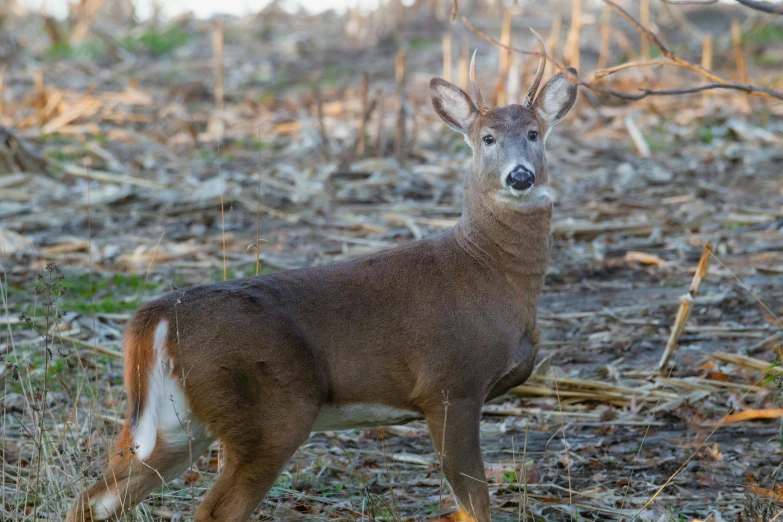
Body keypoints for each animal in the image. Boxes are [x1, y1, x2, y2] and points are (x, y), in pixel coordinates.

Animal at [67, 31, 580, 520]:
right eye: (487, 138)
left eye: (534, 133)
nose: (520, 176)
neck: (487, 270)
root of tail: (154, 317)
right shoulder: (451, 383)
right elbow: (475, 506)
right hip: (270, 410)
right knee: (213, 509)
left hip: (175, 422)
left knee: (95, 499)